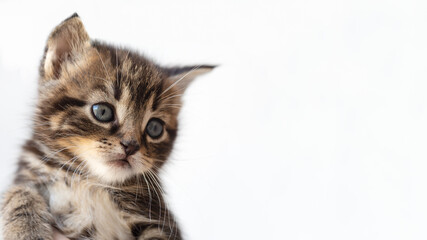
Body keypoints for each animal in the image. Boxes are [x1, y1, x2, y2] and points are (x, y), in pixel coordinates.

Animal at [0, 13, 214, 240]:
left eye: (154, 128)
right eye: (102, 112)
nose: (131, 146)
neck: (89, 179)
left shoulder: (158, 219)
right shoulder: (29, 173)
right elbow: (18, 192)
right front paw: (25, 230)